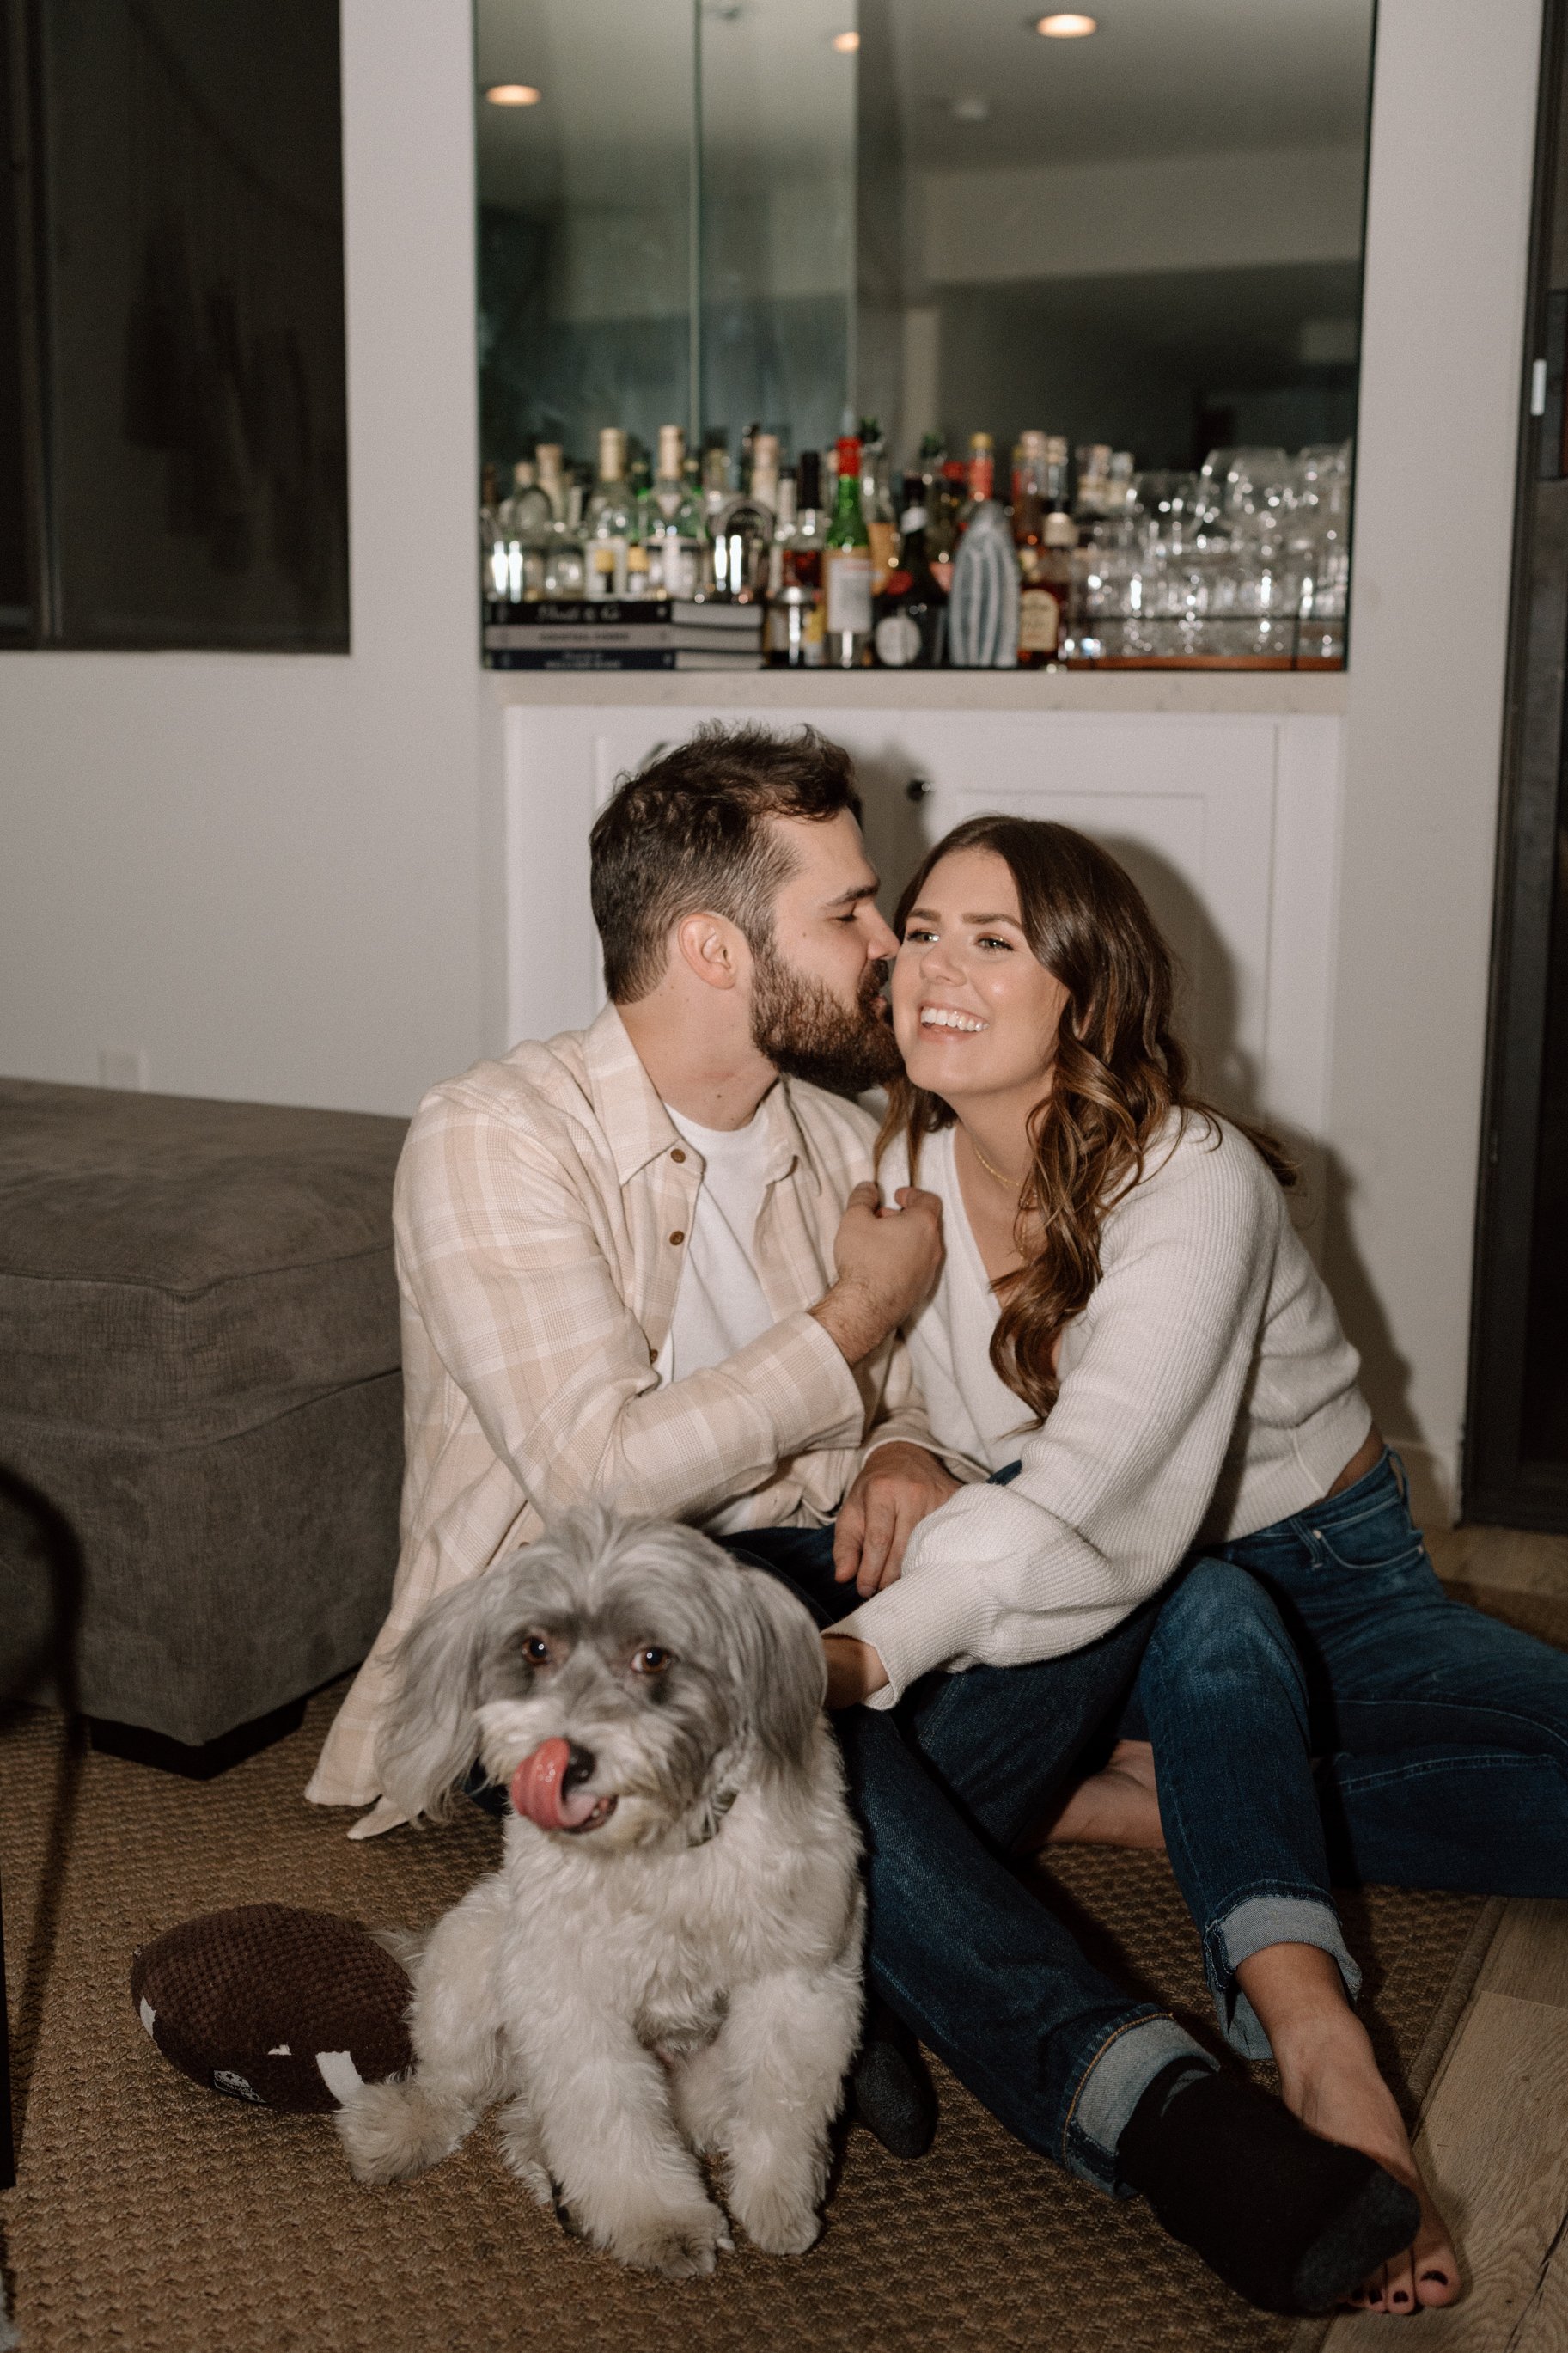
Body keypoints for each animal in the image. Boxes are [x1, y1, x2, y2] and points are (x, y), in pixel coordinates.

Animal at [336, 1506, 864, 2277]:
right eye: (535, 1648)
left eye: (653, 1658)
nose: (566, 1760)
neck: (658, 1851)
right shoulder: (566, 1991)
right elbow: (607, 2118)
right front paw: (659, 2223)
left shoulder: (800, 1978)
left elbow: (782, 2104)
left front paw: (778, 2206)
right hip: (472, 1963)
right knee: (456, 2087)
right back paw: (403, 2133)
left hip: (700, 2076)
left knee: (546, 2115)